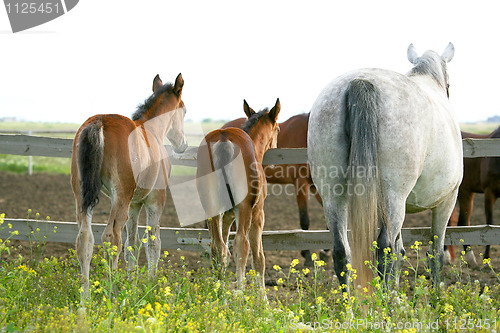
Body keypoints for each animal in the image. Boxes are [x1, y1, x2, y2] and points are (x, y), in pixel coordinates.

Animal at [70, 74, 188, 292]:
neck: (152, 130)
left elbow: (132, 243)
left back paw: (85, 295)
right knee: (111, 237)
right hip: (120, 196)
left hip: (82, 194)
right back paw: (113, 292)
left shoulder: (134, 204)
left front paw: (132, 284)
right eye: (184, 110)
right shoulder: (155, 200)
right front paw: (150, 285)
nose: (182, 145)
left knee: (85, 239)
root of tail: (99, 122)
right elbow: (153, 243)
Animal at [196, 99, 282, 290]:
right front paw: (262, 296)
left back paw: (219, 291)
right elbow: (258, 257)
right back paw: (240, 292)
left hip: (212, 208)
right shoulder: (258, 213)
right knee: (241, 244)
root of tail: (223, 138)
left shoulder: (227, 215)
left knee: (218, 247)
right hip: (244, 209)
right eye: (279, 129)